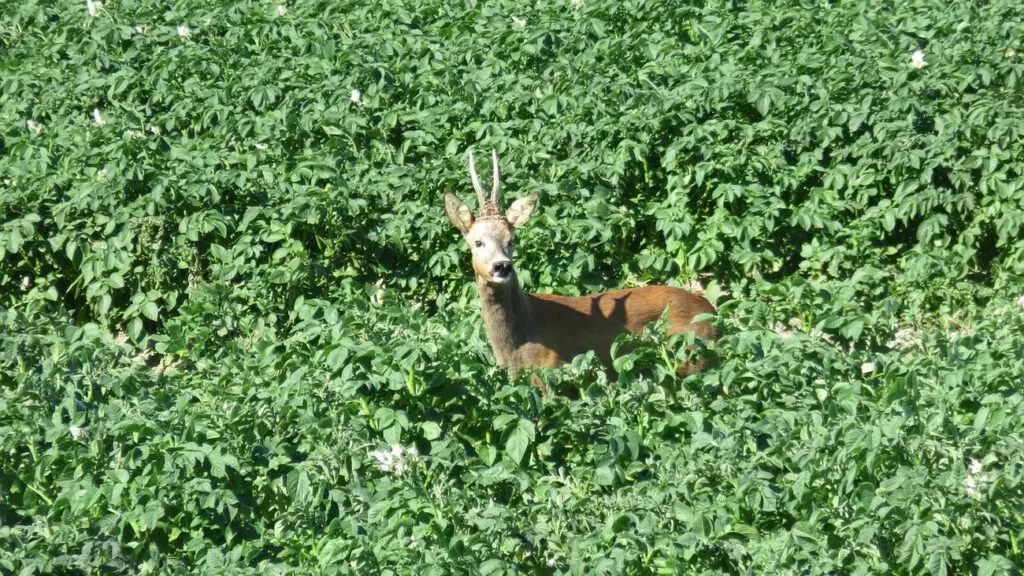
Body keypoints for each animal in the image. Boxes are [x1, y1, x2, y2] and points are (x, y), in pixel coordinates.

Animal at [446, 150, 720, 391]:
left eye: (511, 239)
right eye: (477, 242)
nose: (502, 266)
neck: (518, 344)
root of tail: (713, 313)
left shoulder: (553, 377)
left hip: (694, 359)